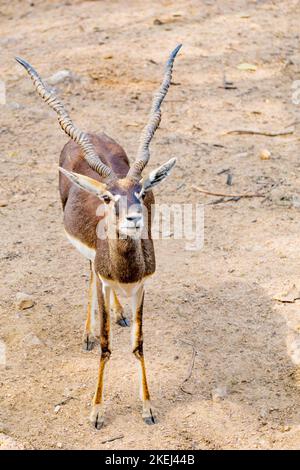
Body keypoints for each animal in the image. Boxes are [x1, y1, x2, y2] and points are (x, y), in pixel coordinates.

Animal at [16, 45, 182, 430]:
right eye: (107, 198)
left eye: (141, 191)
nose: (134, 218)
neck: (124, 273)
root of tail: (91, 132)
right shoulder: (107, 278)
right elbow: (107, 345)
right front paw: (96, 411)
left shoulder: (142, 286)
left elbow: (138, 343)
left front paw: (148, 407)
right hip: (87, 256)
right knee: (90, 276)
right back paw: (88, 333)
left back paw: (119, 313)